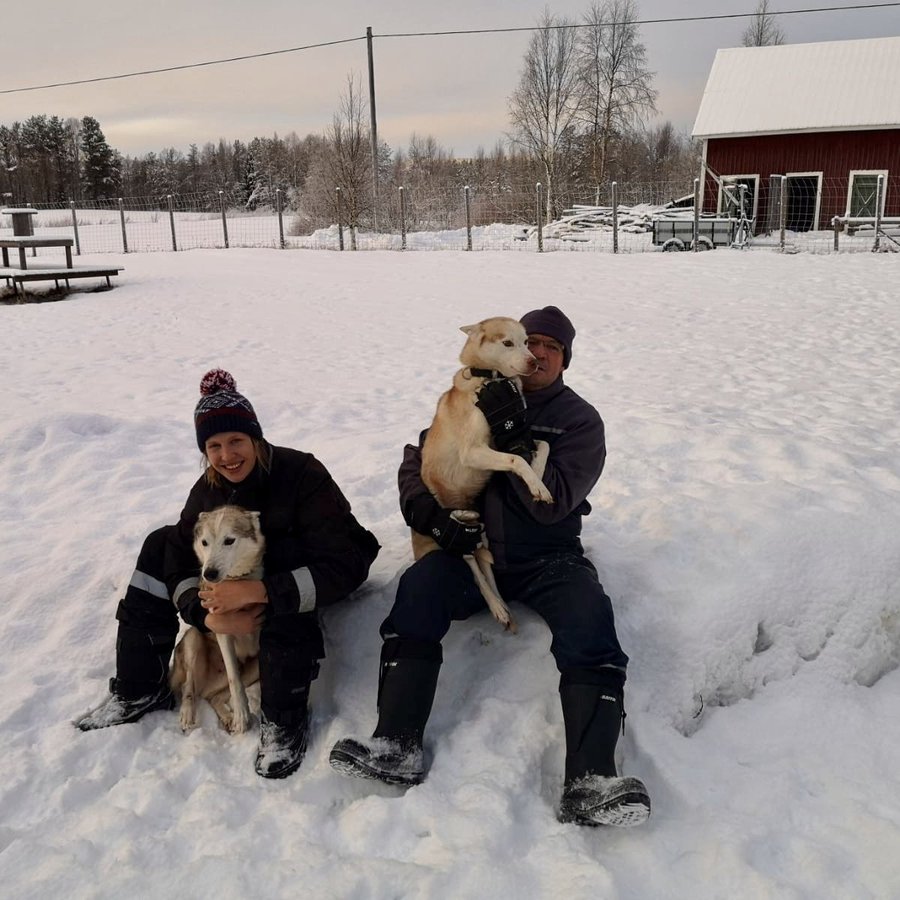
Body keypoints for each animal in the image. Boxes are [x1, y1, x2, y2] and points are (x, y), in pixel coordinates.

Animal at [170, 502, 264, 736]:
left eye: (229, 540)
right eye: (205, 542)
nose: (209, 573)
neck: (236, 581)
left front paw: (240, 716)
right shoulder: (222, 629)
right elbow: (234, 679)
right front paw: (242, 716)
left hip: (251, 669)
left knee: (213, 696)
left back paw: (228, 717)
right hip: (194, 637)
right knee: (189, 687)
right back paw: (188, 714)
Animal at [414, 316, 556, 632]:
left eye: (527, 342)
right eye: (507, 343)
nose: (534, 363)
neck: (492, 380)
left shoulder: (511, 434)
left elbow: (542, 445)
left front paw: (538, 479)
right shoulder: (474, 451)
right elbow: (517, 459)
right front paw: (537, 485)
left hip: (483, 528)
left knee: (485, 564)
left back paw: (503, 606)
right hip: (457, 530)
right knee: (471, 562)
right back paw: (496, 606)